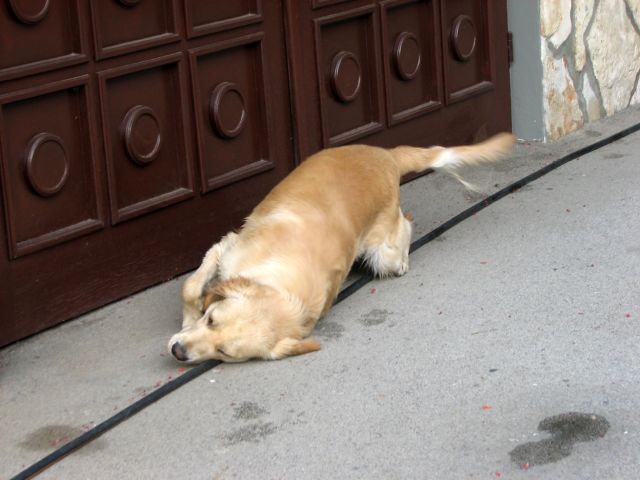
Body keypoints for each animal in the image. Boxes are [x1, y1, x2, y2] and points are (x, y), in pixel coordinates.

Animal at [169, 133, 516, 362]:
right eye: (211, 320)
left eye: (224, 352)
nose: (178, 351)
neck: (281, 282)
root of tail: (386, 155)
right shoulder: (227, 248)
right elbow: (190, 287)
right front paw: (189, 316)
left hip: (384, 253)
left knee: (405, 225)